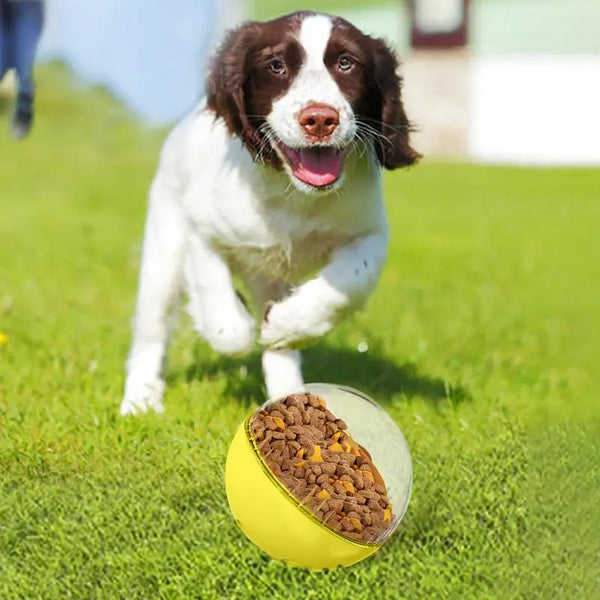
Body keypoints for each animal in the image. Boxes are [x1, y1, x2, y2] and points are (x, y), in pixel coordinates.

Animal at [120, 9, 422, 414]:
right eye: (276, 66)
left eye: (347, 63)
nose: (320, 119)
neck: (292, 194)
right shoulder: (201, 229)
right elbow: (221, 314)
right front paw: (232, 321)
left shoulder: (368, 233)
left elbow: (349, 283)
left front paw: (287, 324)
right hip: (164, 247)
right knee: (152, 328)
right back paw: (140, 400)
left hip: (271, 278)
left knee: (280, 352)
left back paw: (288, 395)